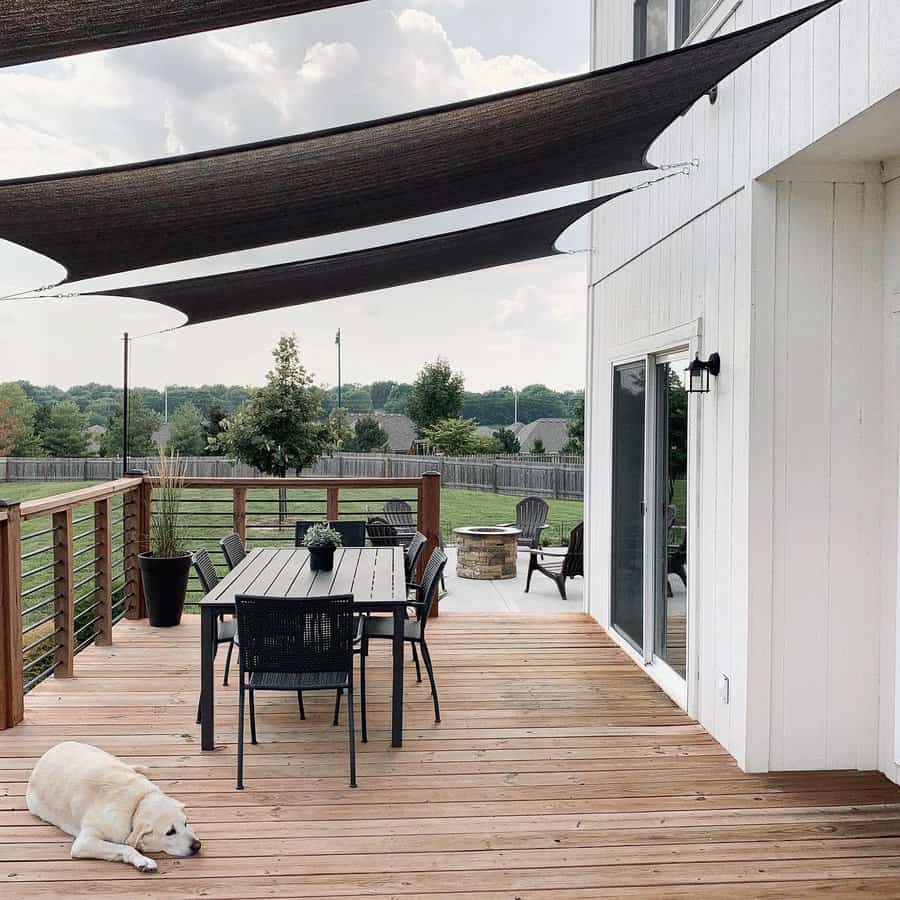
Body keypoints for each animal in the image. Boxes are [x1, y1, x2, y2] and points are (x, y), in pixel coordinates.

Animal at [27, 740, 201, 872]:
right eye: (170, 832)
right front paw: (142, 860)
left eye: (185, 823)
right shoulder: (84, 842)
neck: (137, 803)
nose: (197, 845)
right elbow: (126, 847)